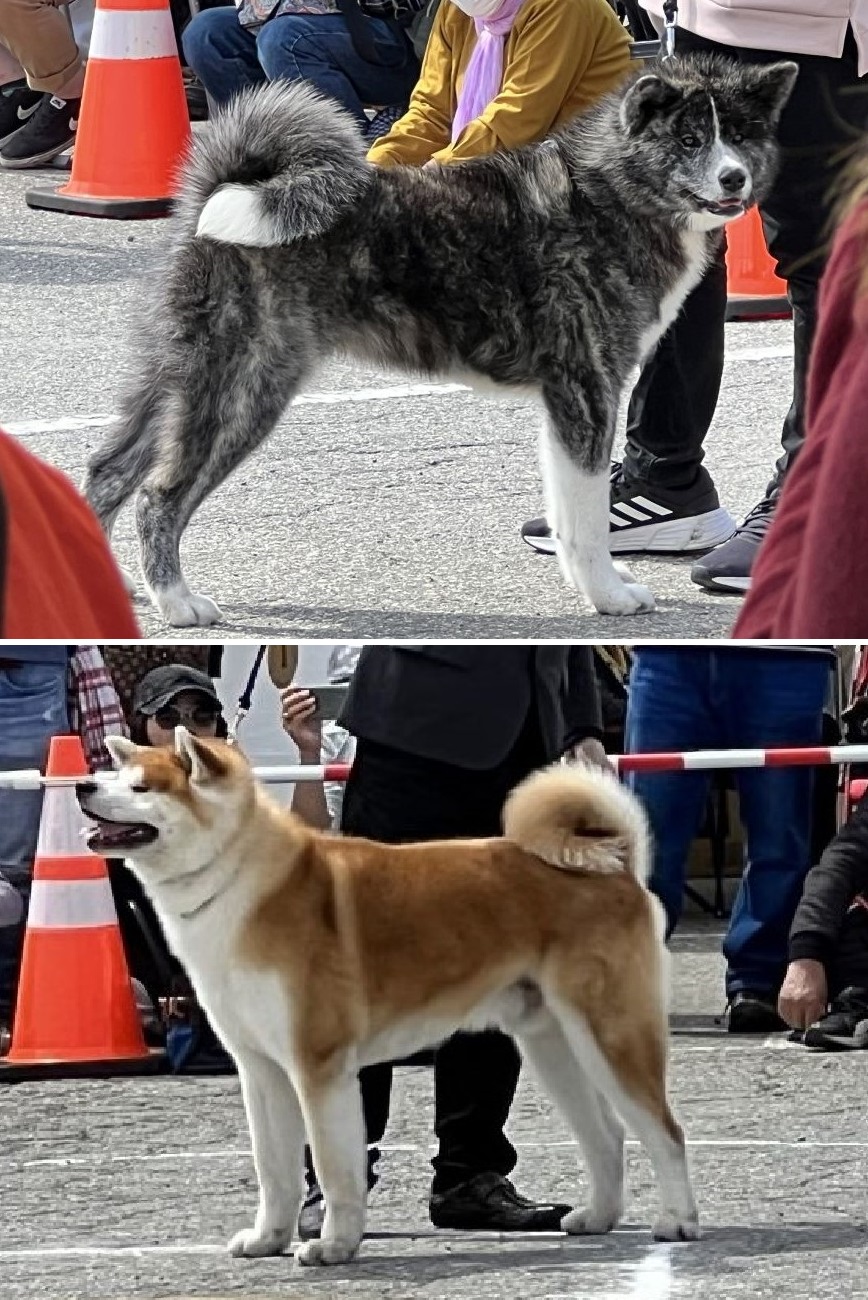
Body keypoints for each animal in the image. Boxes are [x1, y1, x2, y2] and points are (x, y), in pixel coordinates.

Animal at [84, 58, 795, 626]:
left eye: (740, 135)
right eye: (689, 139)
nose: (733, 178)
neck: (609, 193)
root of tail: (222, 189)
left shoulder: (568, 404)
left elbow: (570, 514)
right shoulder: (587, 391)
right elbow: (589, 519)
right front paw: (610, 597)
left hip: (177, 381)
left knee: (109, 471)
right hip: (243, 390)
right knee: (159, 497)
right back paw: (177, 601)